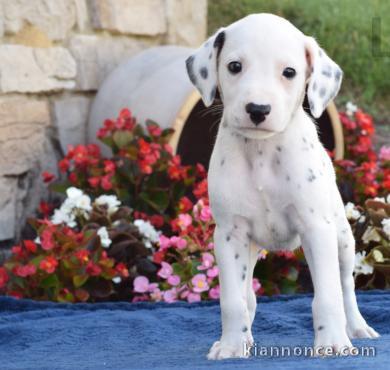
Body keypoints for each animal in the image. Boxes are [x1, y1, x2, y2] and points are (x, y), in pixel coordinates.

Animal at [184, 13, 380, 358]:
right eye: (234, 66)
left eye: (289, 72)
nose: (257, 110)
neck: (262, 152)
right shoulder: (230, 235)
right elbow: (233, 300)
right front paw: (232, 345)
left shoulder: (317, 230)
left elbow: (328, 296)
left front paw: (332, 343)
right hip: (250, 249)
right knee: (247, 295)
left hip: (343, 240)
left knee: (346, 286)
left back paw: (356, 328)